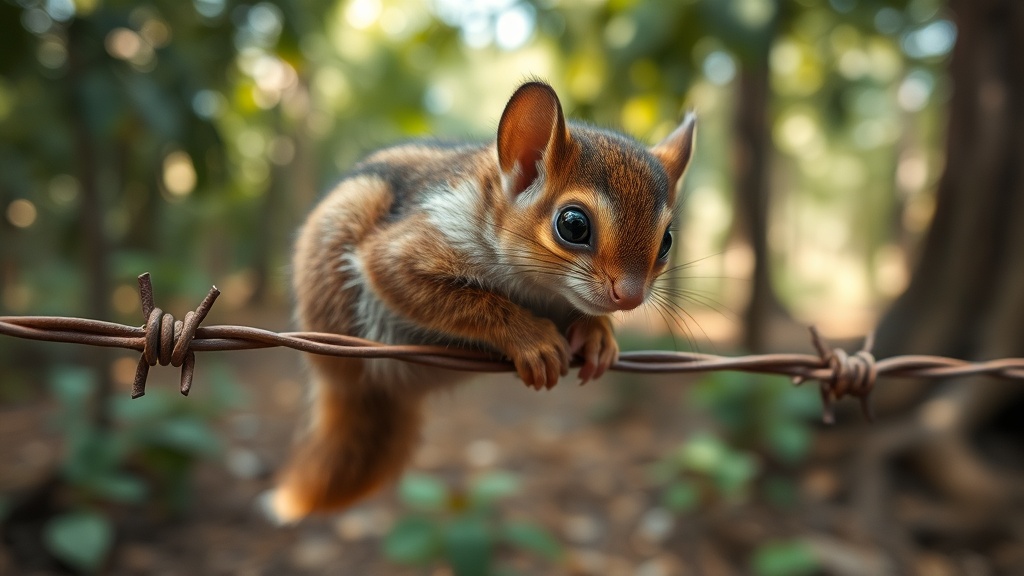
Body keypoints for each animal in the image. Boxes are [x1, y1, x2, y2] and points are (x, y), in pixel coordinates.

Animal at [270, 81, 696, 522]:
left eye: (667, 240)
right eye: (573, 225)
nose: (629, 296)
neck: (543, 291)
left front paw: (598, 336)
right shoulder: (407, 250)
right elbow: (432, 288)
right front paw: (534, 341)